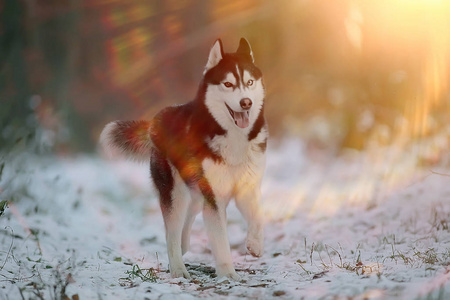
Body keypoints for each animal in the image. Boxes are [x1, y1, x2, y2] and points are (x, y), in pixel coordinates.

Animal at [99, 38, 268, 282]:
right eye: (228, 84)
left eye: (249, 82)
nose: (245, 102)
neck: (233, 137)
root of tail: (156, 120)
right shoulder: (214, 198)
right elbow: (220, 240)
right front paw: (228, 273)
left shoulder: (246, 187)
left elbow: (258, 217)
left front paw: (255, 245)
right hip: (176, 194)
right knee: (171, 232)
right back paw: (178, 268)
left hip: (195, 193)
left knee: (186, 223)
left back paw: (183, 244)